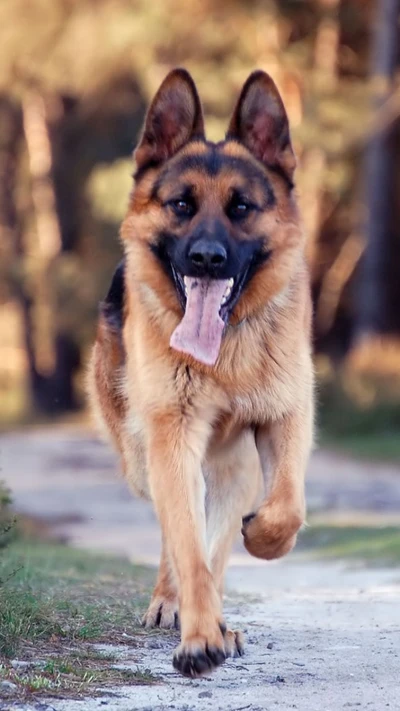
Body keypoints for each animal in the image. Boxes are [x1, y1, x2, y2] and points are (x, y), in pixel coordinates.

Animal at [87, 69, 312, 680]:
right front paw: (197, 638)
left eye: (241, 207)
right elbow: (187, 546)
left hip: (233, 470)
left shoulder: (288, 418)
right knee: (176, 534)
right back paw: (176, 606)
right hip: (145, 457)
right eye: (182, 205)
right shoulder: (173, 438)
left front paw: (264, 539)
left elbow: (286, 508)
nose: (207, 258)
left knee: (219, 536)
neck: (226, 355)